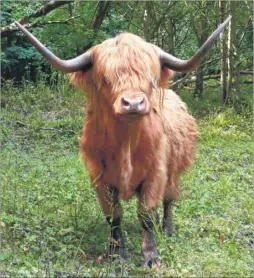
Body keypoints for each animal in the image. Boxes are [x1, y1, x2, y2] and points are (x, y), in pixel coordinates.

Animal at [14, 16, 231, 268]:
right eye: (106, 78)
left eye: (149, 78)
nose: (134, 103)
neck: (126, 143)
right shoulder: (99, 177)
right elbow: (114, 215)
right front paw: (116, 252)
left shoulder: (156, 173)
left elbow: (146, 213)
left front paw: (150, 256)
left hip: (174, 171)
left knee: (169, 198)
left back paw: (167, 228)